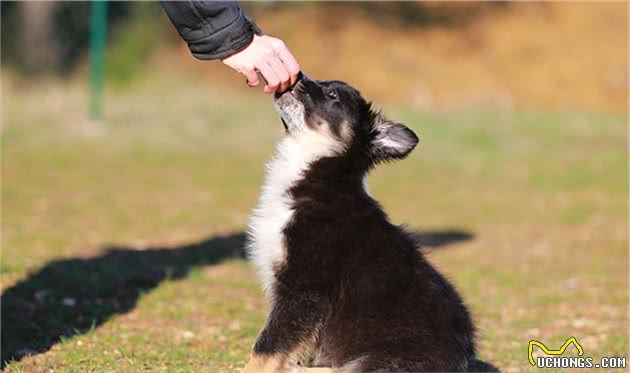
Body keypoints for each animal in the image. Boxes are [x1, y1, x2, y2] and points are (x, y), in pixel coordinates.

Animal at [244, 74, 492, 370]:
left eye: (332, 95)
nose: (298, 75)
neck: (319, 173)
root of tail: (464, 362)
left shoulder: (305, 289)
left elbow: (267, 346)